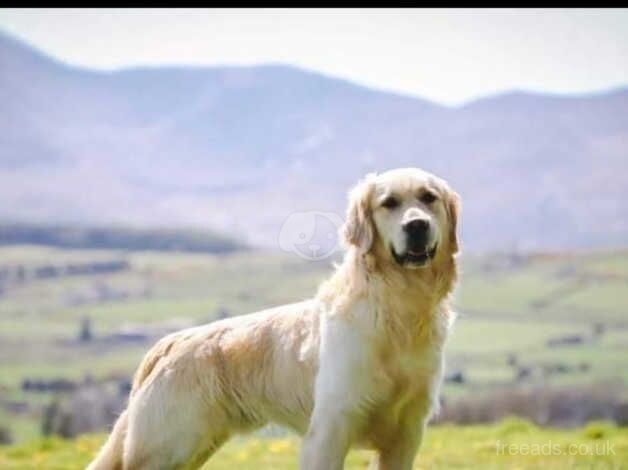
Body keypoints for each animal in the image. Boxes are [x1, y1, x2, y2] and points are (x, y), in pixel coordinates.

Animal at [87, 168, 462, 470]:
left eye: (429, 198)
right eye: (389, 203)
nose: (417, 225)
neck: (399, 308)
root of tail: (170, 341)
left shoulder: (407, 433)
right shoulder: (330, 429)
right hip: (167, 446)